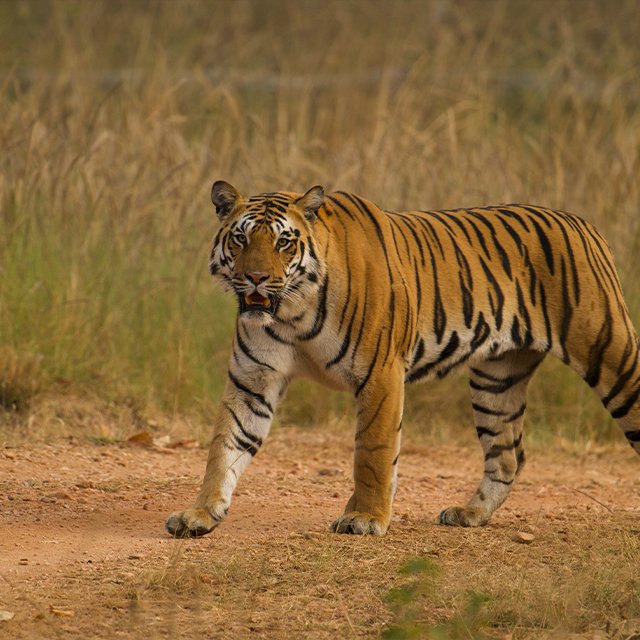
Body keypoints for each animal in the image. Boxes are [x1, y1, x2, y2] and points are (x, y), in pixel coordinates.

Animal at [166, 181, 640, 537]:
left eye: (284, 242)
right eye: (241, 238)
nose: (256, 278)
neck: (291, 312)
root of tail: (582, 222)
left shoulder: (380, 372)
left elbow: (373, 451)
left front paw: (364, 518)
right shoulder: (253, 379)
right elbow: (225, 446)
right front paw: (200, 514)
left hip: (609, 352)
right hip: (497, 379)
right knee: (507, 454)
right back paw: (469, 514)